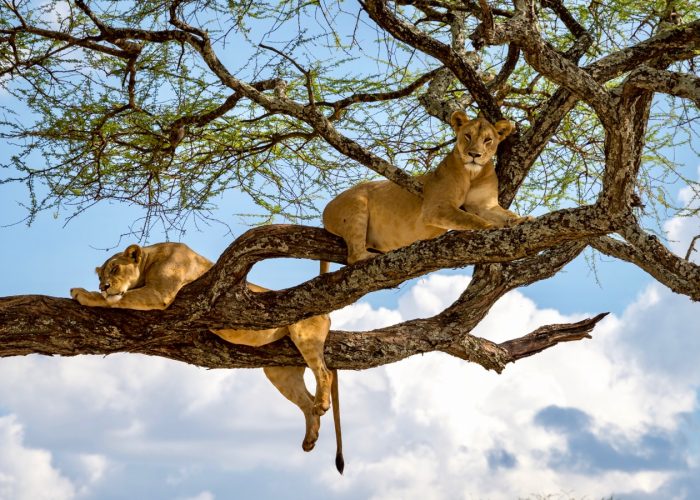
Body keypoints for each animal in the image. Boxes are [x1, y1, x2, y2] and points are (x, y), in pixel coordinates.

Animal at [70, 242, 344, 473]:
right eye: (100, 276)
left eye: (115, 268)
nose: (103, 286)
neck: (150, 259)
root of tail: (328, 314)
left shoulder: (159, 293)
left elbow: (119, 299)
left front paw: (84, 294)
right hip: (279, 371)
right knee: (306, 401)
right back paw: (310, 438)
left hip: (304, 336)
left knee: (324, 373)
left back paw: (322, 404)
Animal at [323, 110, 529, 264]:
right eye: (467, 136)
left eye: (488, 140)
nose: (474, 155)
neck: (472, 174)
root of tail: (326, 209)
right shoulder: (435, 207)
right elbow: (471, 218)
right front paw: (490, 227)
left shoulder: (485, 205)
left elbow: (506, 214)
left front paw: (523, 219)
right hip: (356, 206)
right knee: (354, 256)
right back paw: (369, 256)